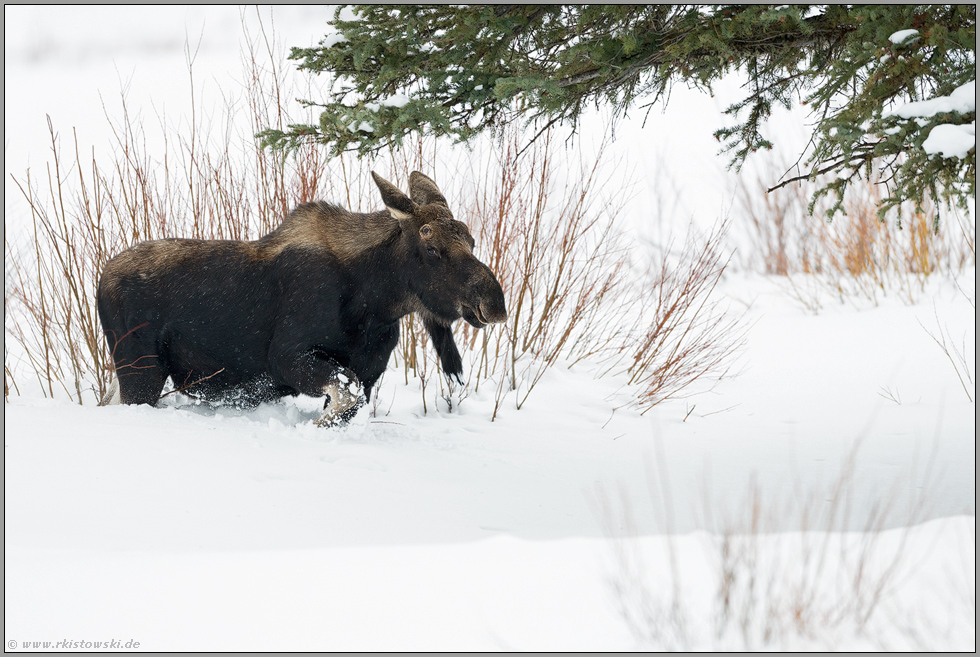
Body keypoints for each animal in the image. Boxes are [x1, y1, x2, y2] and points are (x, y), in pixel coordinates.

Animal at [96, 170, 510, 426]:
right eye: (432, 247)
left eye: (471, 240)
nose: (494, 303)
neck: (376, 304)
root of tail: (101, 279)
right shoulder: (287, 356)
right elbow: (344, 396)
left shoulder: (369, 371)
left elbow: (348, 403)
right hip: (140, 371)